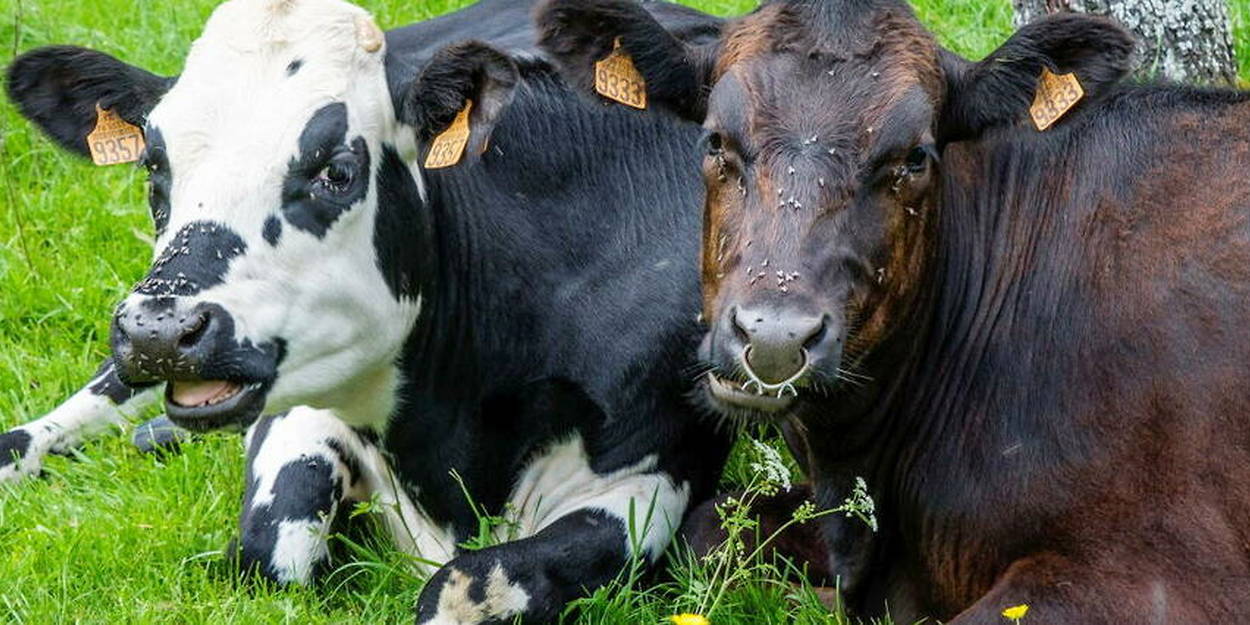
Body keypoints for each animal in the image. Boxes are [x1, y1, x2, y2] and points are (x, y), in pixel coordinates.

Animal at [4, 0, 732, 622]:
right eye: (155, 168)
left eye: (337, 170)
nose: (160, 329)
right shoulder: (301, 395)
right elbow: (272, 548)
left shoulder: (648, 476)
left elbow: (459, 588)